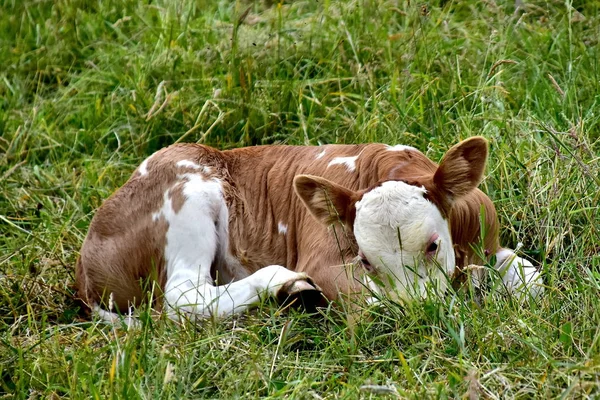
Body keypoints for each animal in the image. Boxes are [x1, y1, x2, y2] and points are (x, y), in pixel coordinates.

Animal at [75, 138, 544, 322]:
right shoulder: (323, 259)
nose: (418, 311)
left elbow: (531, 277)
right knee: (182, 296)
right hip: (186, 196)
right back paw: (287, 285)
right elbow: (369, 302)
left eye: (432, 246)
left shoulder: (488, 242)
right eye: (365, 260)